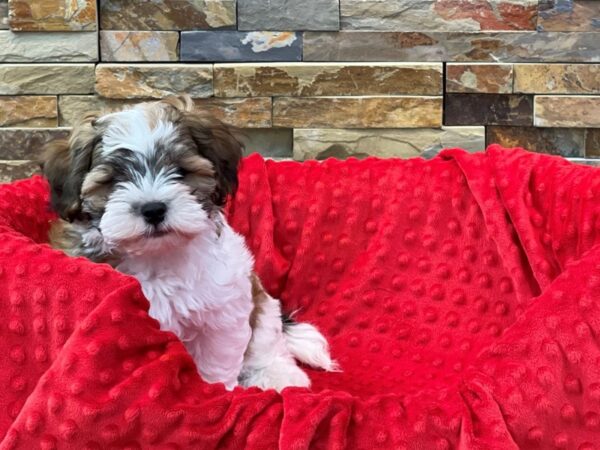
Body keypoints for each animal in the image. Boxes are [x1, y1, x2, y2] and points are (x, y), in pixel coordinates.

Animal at [41, 96, 338, 392]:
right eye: (113, 181)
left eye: (181, 172)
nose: (153, 209)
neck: (156, 255)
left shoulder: (224, 311)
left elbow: (217, 362)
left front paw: (215, 391)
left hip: (261, 305)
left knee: (267, 343)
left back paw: (278, 375)